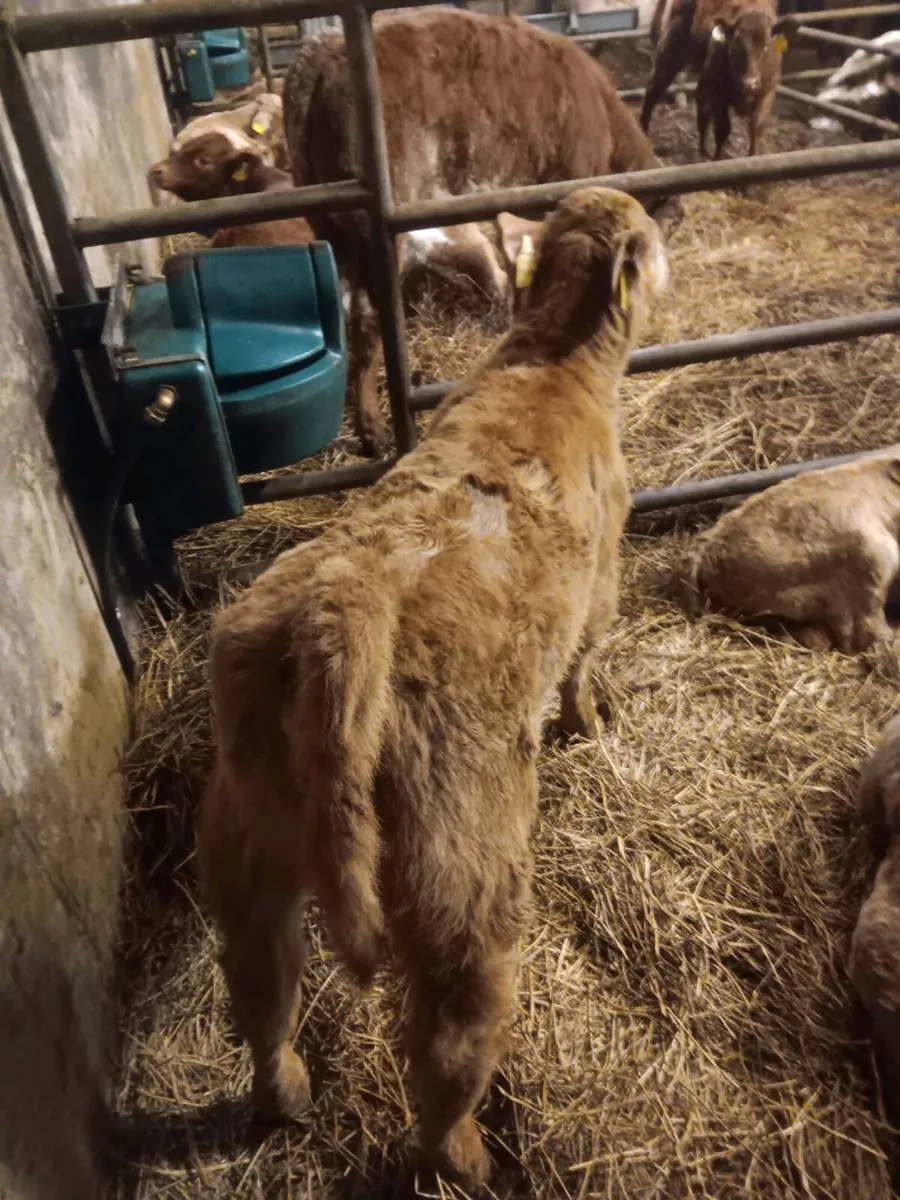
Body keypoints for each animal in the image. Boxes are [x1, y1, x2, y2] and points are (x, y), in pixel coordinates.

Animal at [195, 187, 669, 1189]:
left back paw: (283, 1097)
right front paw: (590, 720)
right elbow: (586, 662)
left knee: (259, 987)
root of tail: (348, 602)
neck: (552, 360)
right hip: (463, 872)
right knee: (449, 1041)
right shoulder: (606, 573)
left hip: (245, 838)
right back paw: (468, 1157)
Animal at [640, 0, 793, 158]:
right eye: (735, 47)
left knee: (701, 103)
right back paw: (644, 132)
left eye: (766, 47)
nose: (750, 83)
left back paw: (703, 150)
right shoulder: (718, 93)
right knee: (653, 91)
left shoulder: (767, 91)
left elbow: (756, 127)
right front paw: (718, 159)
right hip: (671, 52)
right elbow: (722, 129)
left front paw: (753, 156)